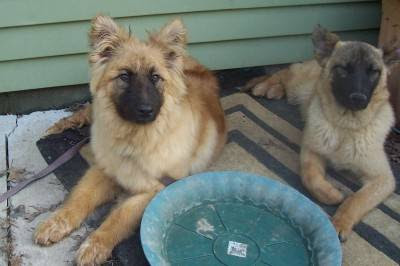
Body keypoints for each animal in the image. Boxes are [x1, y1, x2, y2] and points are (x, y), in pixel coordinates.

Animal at [34, 15, 227, 264]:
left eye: (155, 78)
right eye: (124, 76)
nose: (145, 111)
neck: (133, 140)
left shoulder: (155, 189)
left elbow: (120, 217)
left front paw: (95, 245)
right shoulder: (104, 169)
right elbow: (79, 198)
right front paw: (56, 222)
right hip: (94, 110)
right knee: (85, 111)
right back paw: (60, 127)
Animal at [245, 25, 396, 241]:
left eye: (373, 72)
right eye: (344, 68)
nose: (358, 98)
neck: (345, 126)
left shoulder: (382, 178)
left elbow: (357, 199)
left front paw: (341, 221)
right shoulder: (311, 152)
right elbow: (310, 177)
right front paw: (332, 194)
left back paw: (273, 90)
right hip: (298, 84)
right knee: (284, 73)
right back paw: (264, 85)